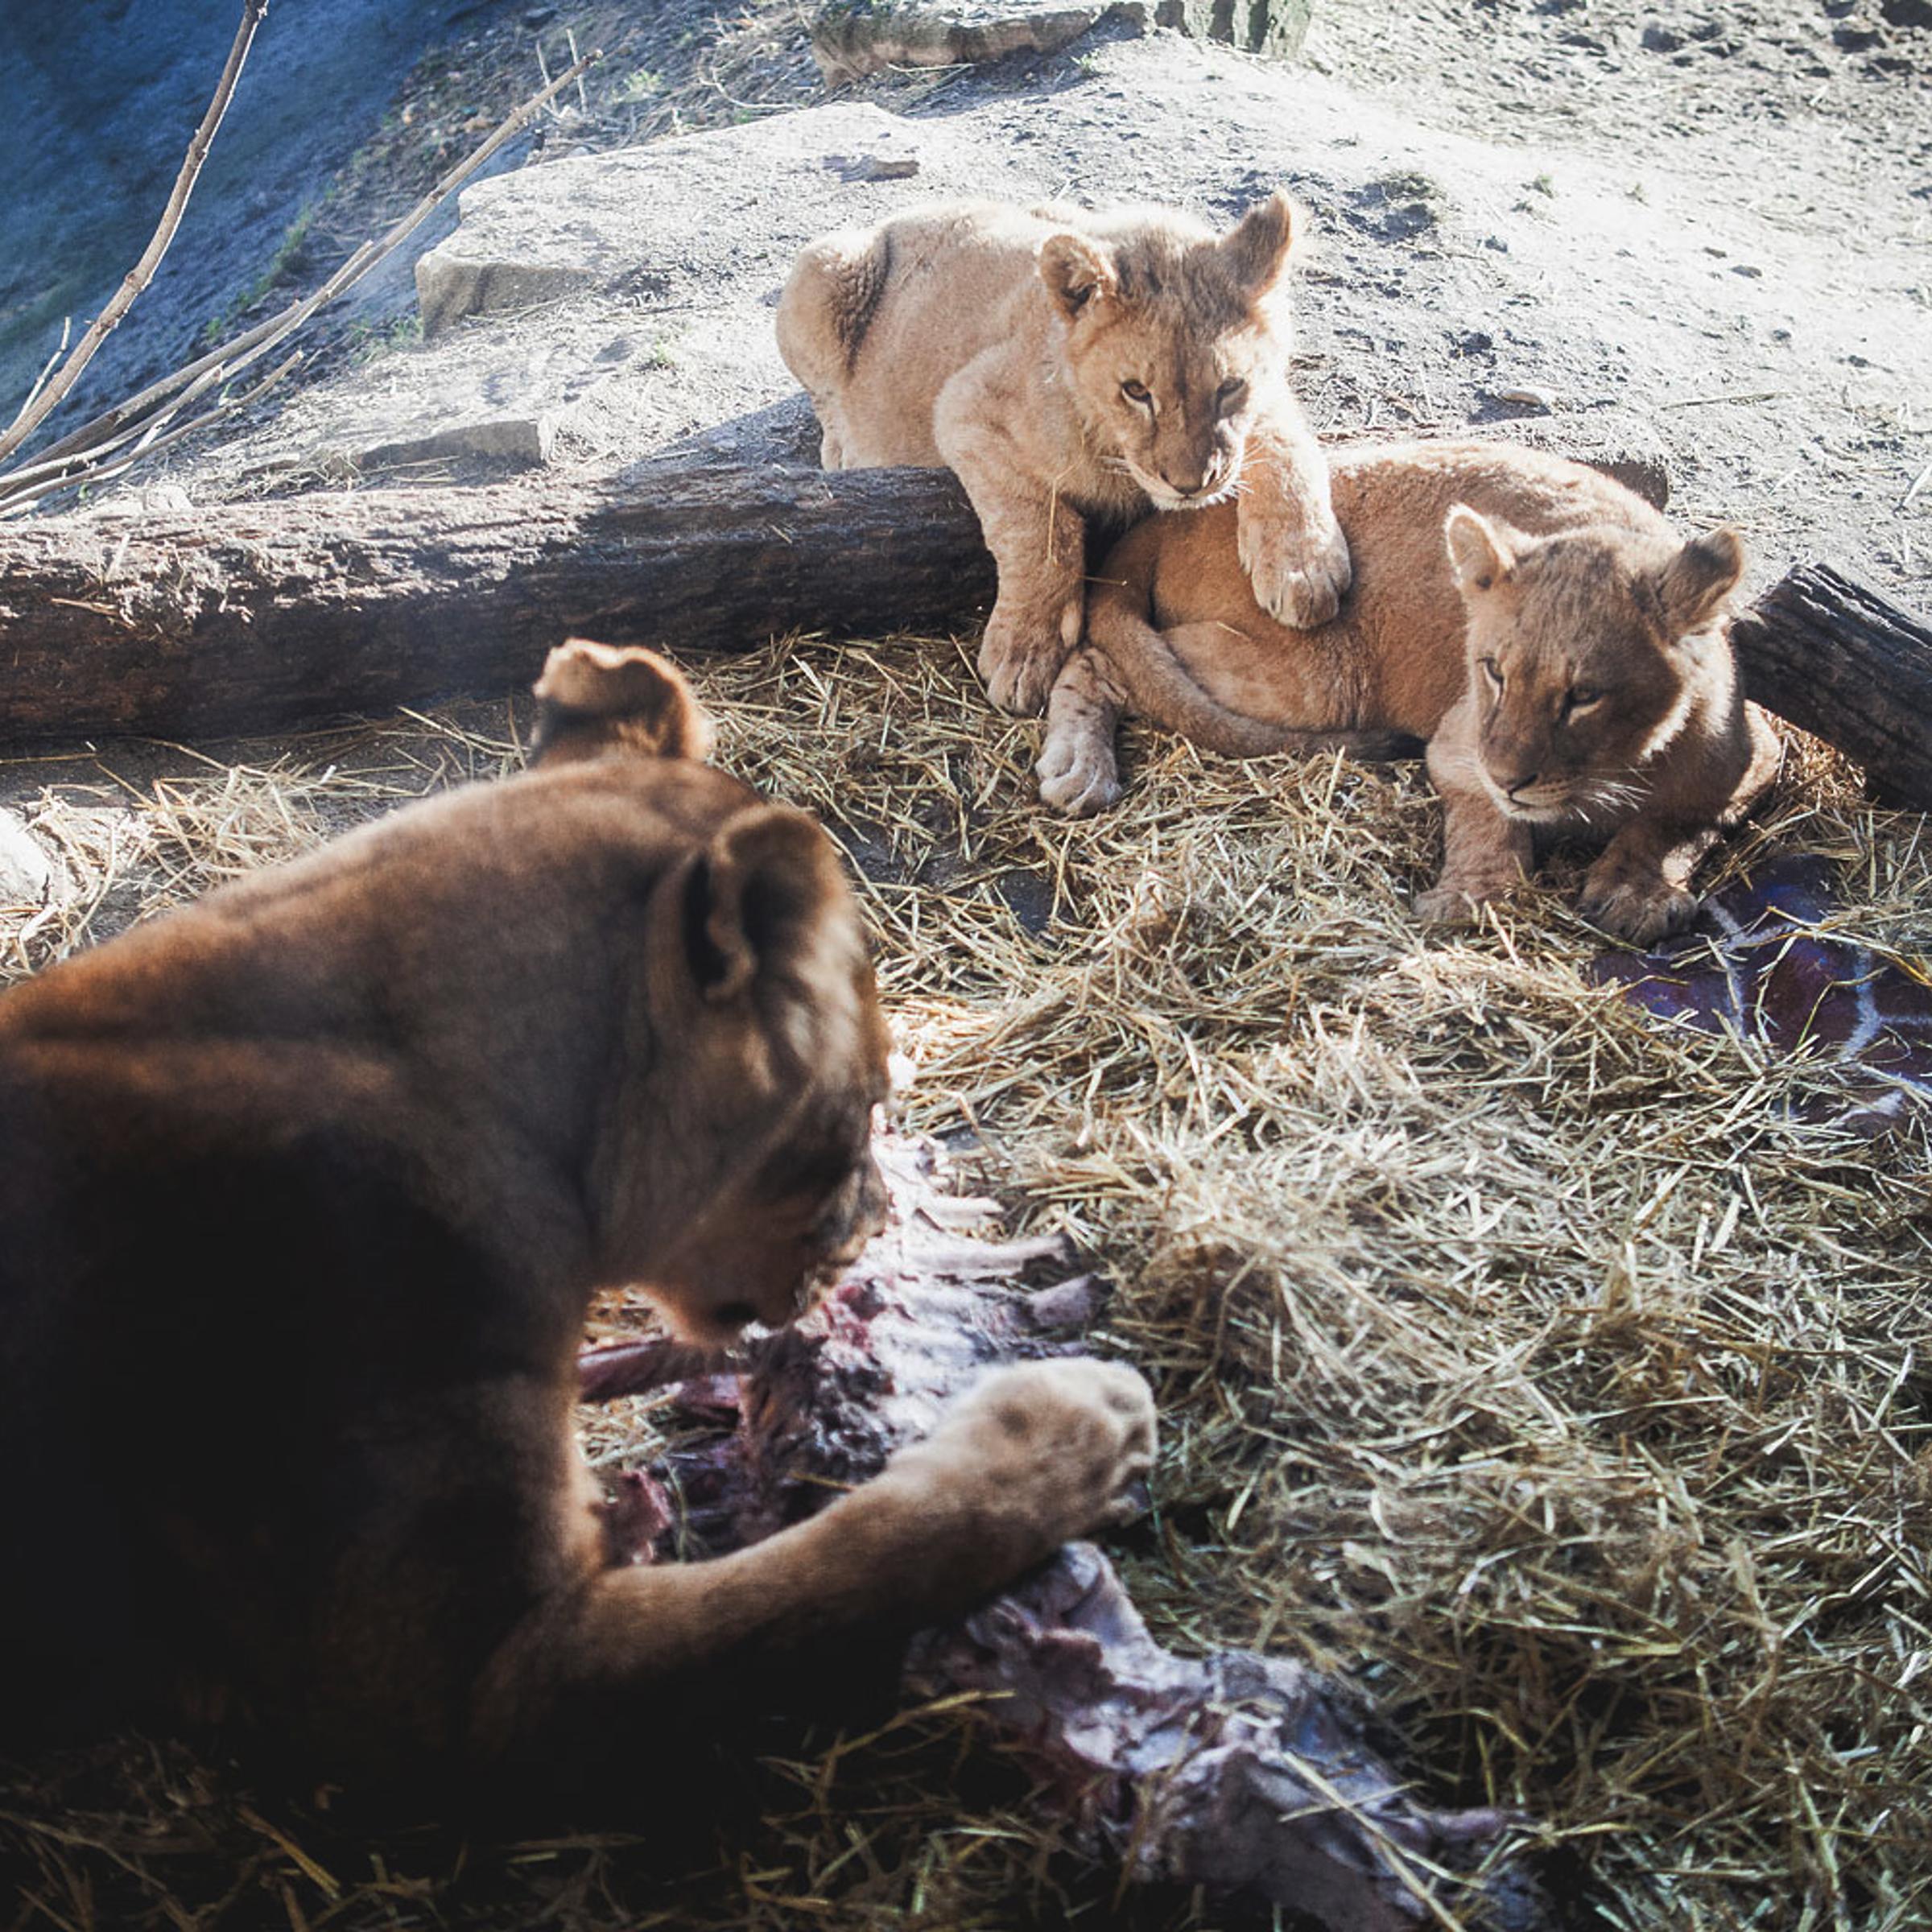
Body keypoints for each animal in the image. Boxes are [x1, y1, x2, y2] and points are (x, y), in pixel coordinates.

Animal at [775, 193, 1352, 716]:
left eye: (1230, 387)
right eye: (1136, 391)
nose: (1191, 485)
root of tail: (905, 213)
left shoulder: (1268, 403)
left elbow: (1288, 448)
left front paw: (1304, 566)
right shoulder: (965, 406)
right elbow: (1041, 531)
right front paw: (1024, 651)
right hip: (821, 269)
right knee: (824, 399)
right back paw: (844, 449)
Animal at [1038, 441, 1782, 945]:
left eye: (1585, 696)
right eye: (1493, 670)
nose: (1511, 777)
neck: (1609, 774)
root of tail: (1169, 518)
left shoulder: (1759, 751)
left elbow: (1680, 820)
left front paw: (1635, 889)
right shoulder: (1460, 741)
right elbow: (1487, 827)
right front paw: (1470, 895)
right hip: (1319, 673)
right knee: (1099, 652)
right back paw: (1079, 766)